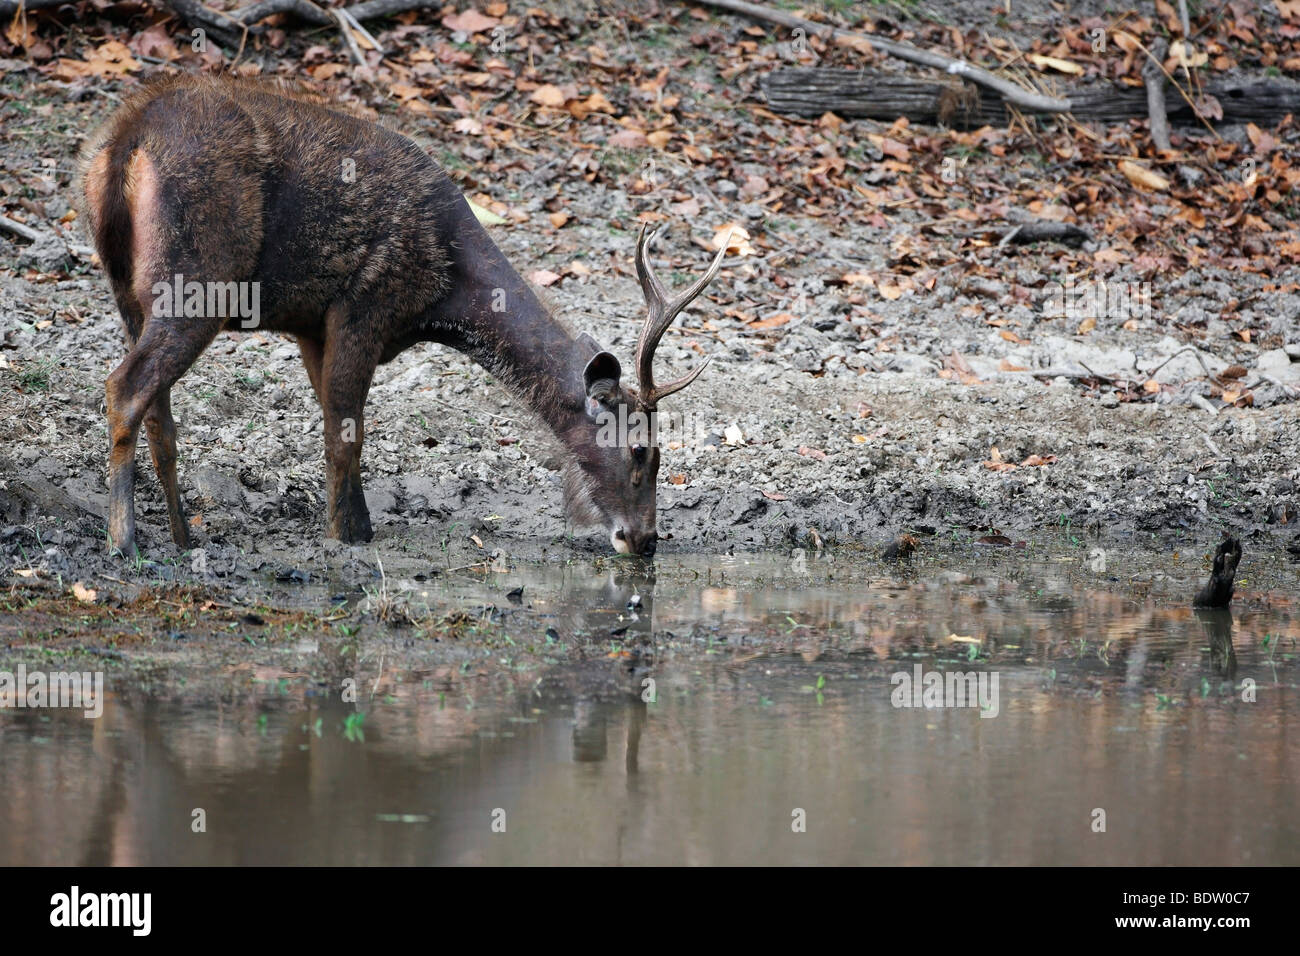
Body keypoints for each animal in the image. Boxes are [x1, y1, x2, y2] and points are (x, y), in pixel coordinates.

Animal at [76, 76, 728, 561]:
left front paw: (358, 525)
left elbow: (335, 421)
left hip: (128, 288)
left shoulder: (312, 324)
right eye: (641, 451)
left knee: (158, 410)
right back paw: (123, 542)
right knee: (126, 387)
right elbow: (346, 433)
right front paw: (344, 539)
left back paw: (183, 537)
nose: (645, 540)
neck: (445, 295)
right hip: (200, 274)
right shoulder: (366, 302)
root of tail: (124, 144)